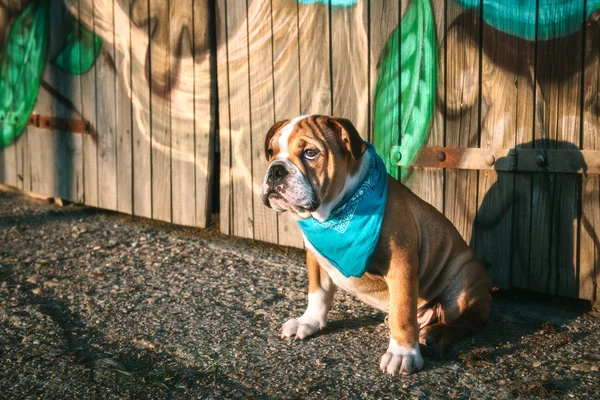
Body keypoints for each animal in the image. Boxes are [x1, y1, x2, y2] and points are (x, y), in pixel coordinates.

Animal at [262, 115, 492, 376]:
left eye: (310, 153)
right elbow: (317, 293)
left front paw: (403, 353)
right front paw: (308, 322)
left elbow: (403, 310)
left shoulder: (401, 264)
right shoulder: (315, 257)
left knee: (468, 323)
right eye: (271, 152)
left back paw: (435, 333)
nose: (275, 170)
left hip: (463, 285)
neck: (334, 214)